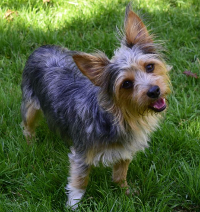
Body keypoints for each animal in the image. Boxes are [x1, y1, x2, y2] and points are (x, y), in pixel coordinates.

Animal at [20, 4, 170, 210]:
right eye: (127, 84)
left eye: (149, 67)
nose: (154, 91)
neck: (120, 116)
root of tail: (43, 47)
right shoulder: (82, 155)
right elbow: (79, 182)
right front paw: (73, 206)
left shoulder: (125, 150)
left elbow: (120, 174)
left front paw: (126, 192)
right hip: (30, 105)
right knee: (27, 126)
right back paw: (30, 145)